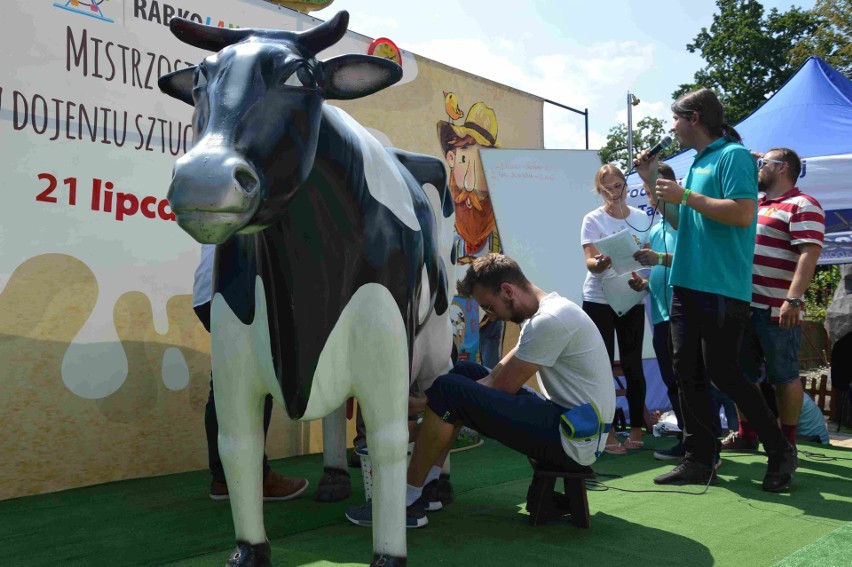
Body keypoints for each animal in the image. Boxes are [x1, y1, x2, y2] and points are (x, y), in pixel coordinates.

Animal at [157, 11, 456, 567]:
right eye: (202, 76)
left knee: (436, 390)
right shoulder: (232, 341)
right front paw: (249, 550)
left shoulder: (387, 331)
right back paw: (335, 477)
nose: (203, 178)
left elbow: (388, 439)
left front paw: (390, 551)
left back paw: (439, 487)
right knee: (338, 411)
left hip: (436, 332)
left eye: (301, 76)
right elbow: (238, 443)